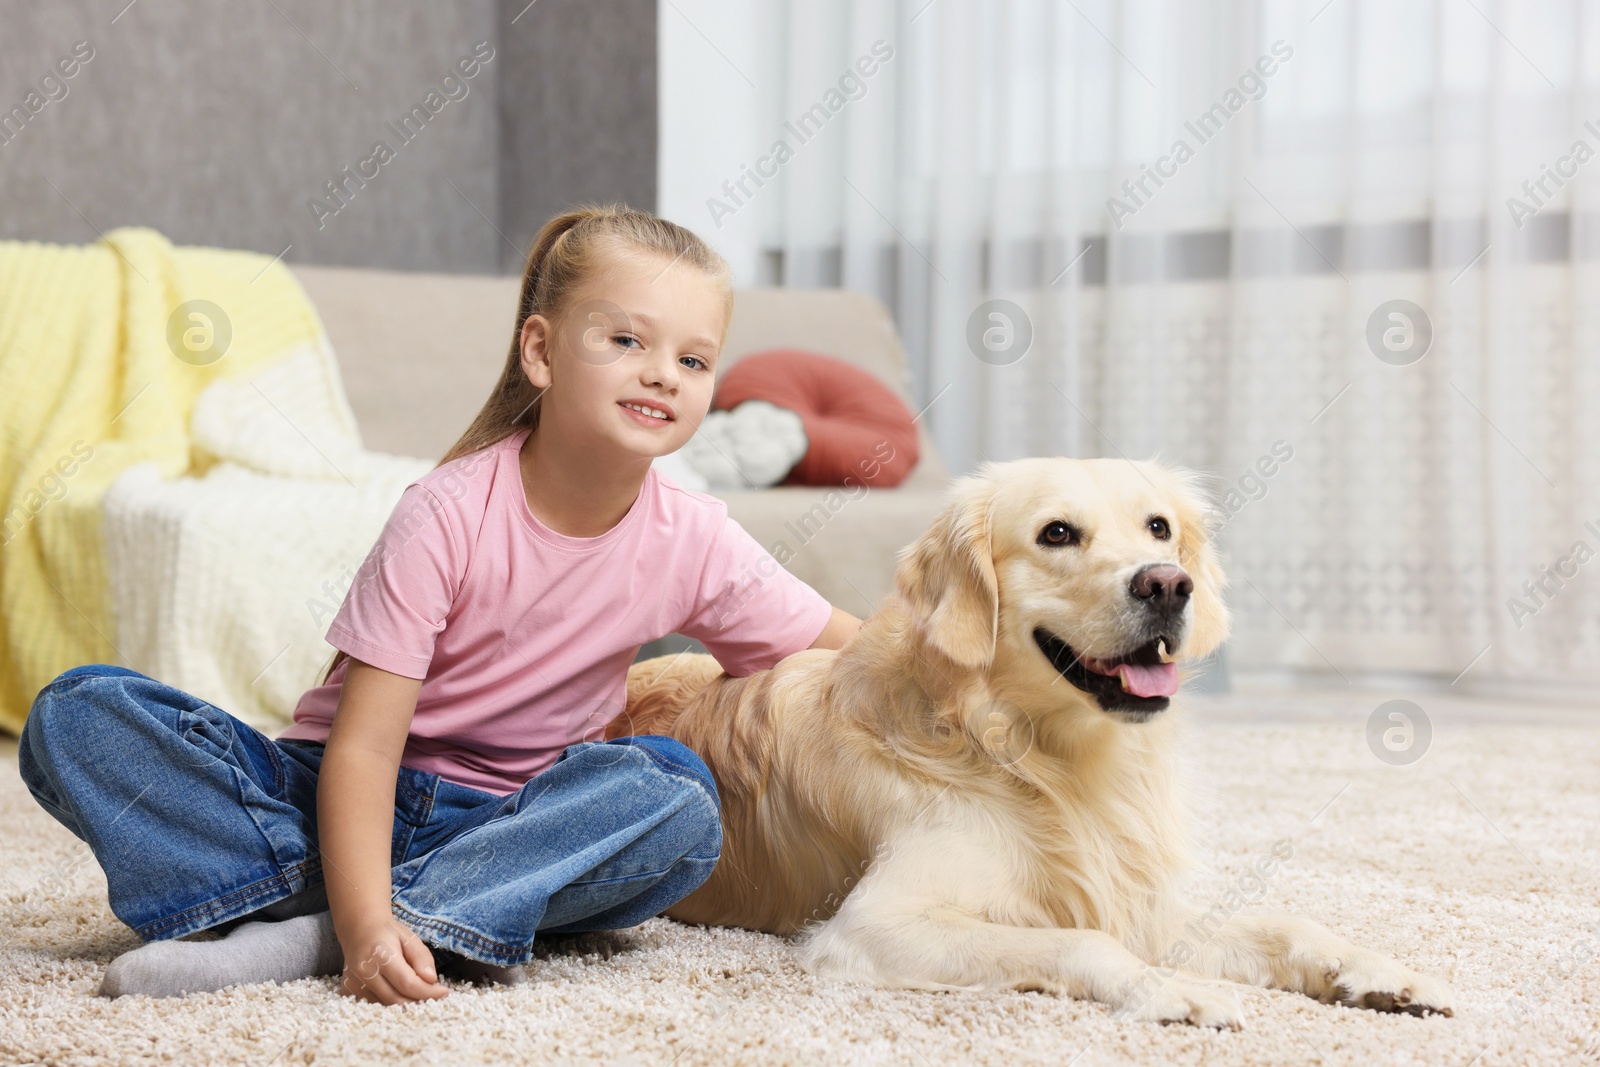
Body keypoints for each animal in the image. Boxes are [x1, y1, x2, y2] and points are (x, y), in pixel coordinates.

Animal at [614, 457, 1465, 1023]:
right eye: (1056, 533)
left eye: (1158, 527)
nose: (1168, 583)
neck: (1032, 754)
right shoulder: (875, 924)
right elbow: (1080, 941)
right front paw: (1173, 989)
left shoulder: (1135, 896)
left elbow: (1282, 920)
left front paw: (1378, 971)